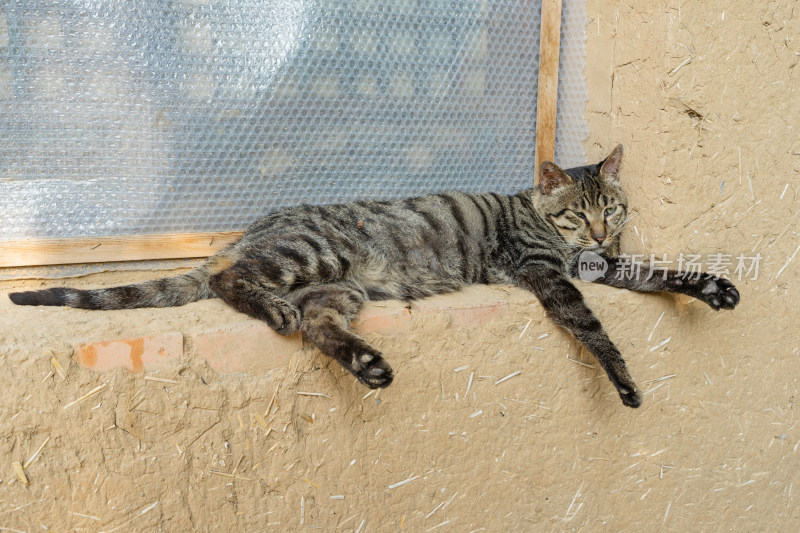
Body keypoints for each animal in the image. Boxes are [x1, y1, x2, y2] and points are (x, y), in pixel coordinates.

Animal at [10, 145, 736, 408]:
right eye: (577, 214)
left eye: (612, 208)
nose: (602, 233)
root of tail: (255, 226)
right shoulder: (548, 274)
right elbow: (595, 328)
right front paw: (625, 381)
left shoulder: (608, 265)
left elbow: (660, 272)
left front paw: (711, 286)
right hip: (309, 256)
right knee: (232, 281)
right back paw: (272, 306)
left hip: (339, 289)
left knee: (319, 323)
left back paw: (368, 365)